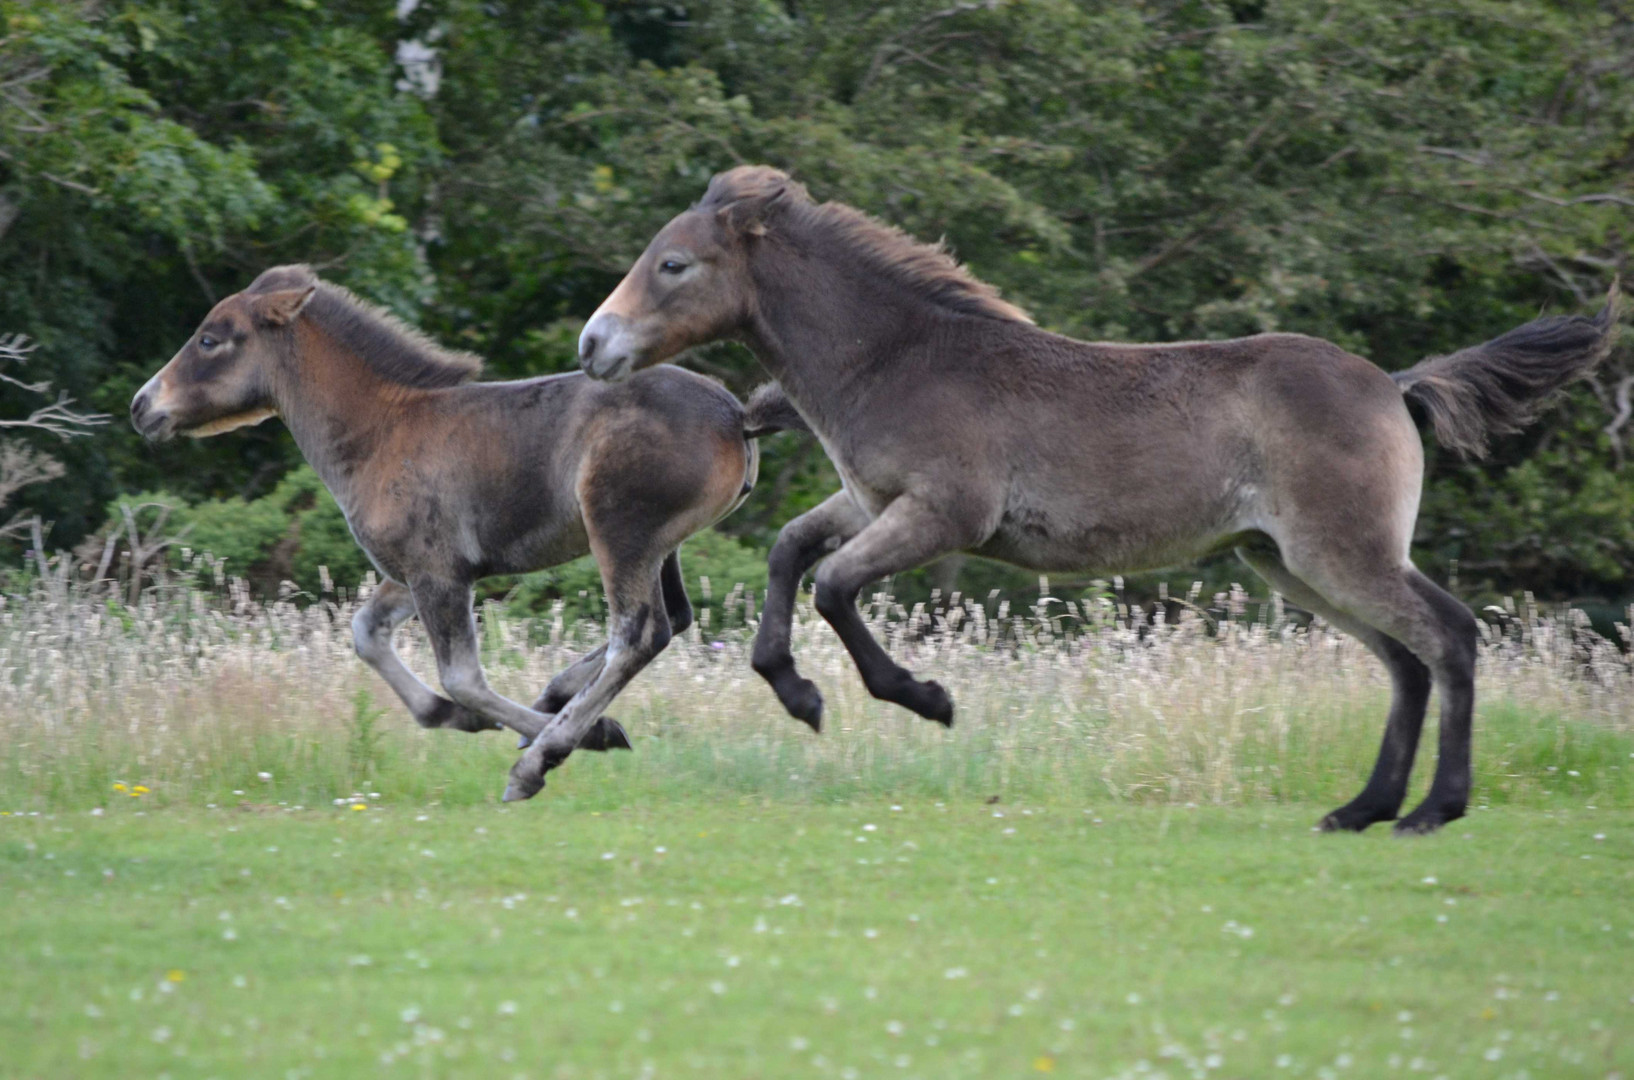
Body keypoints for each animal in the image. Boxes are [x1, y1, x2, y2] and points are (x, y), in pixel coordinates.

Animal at [132, 261, 797, 800]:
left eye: (210, 339)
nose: (142, 406)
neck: (381, 430)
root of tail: (737, 416)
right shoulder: (412, 574)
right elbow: (366, 634)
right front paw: (461, 718)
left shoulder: (438, 574)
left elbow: (462, 677)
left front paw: (582, 737)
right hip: (661, 545)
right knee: (672, 620)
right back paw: (556, 702)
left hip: (620, 534)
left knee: (637, 633)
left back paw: (541, 756)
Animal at [575, 164, 1620, 833]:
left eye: (674, 265)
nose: (593, 346)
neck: (904, 357)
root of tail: (1396, 386)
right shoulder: (873, 504)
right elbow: (791, 552)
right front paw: (796, 693)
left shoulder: (943, 515)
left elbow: (832, 586)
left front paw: (925, 699)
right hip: (1290, 564)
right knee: (1403, 662)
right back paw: (1362, 809)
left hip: (1343, 553)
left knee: (1449, 637)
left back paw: (1433, 811)